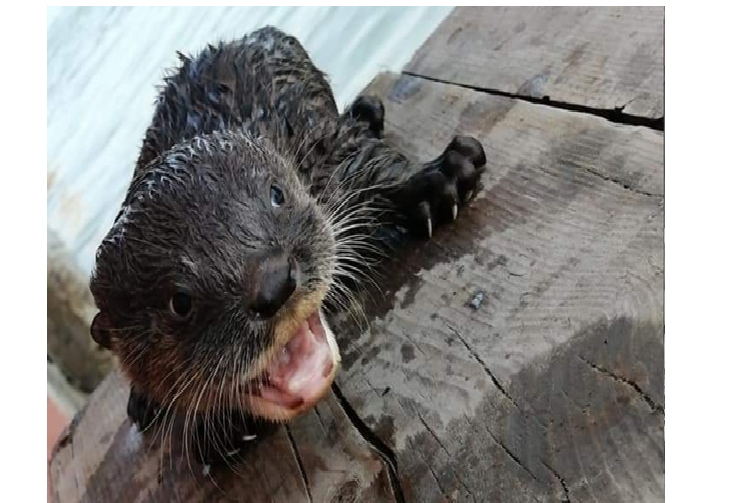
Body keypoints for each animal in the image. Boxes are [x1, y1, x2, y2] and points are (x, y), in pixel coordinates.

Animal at [88, 26, 486, 468]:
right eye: (179, 303)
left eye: (276, 195)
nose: (273, 283)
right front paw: (216, 429)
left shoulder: (325, 147)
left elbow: (372, 158)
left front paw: (443, 177)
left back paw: (367, 111)